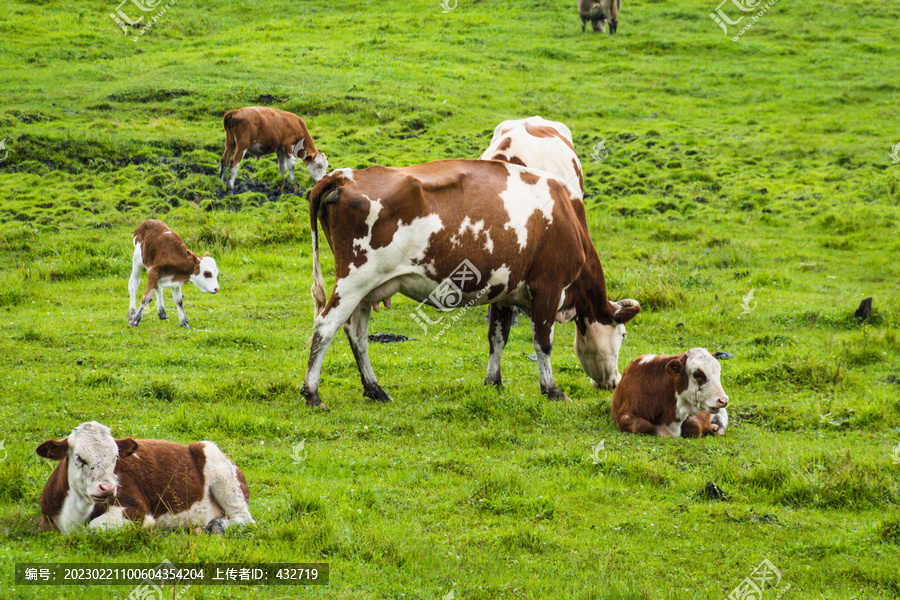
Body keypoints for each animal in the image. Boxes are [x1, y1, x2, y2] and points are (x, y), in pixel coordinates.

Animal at [35, 422, 253, 536]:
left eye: (115, 457)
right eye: (80, 457)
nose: (108, 488)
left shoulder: (136, 511)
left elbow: (94, 527)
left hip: (224, 478)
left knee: (245, 519)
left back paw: (215, 526)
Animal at [302, 158, 640, 408]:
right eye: (622, 335)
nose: (614, 382)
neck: (567, 215)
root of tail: (345, 177)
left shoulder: (505, 291)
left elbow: (497, 337)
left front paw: (494, 382)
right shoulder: (548, 286)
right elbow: (543, 342)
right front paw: (552, 390)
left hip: (365, 290)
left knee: (357, 334)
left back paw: (374, 389)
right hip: (355, 279)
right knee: (325, 326)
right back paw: (312, 393)